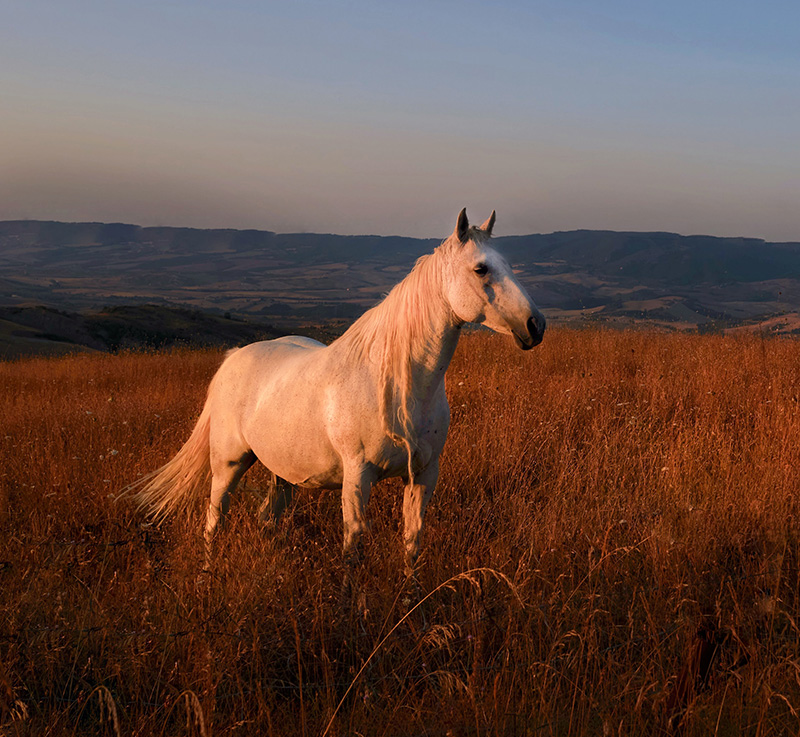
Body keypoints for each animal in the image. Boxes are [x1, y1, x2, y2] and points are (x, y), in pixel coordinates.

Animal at [129, 209, 545, 574]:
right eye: (481, 268)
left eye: (509, 265)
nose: (535, 325)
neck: (398, 386)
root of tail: (233, 358)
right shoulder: (357, 476)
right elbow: (353, 546)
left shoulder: (424, 475)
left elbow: (412, 543)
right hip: (228, 464)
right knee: (214, 520)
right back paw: (207, 575)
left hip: (282, 471)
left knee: (269, 518)